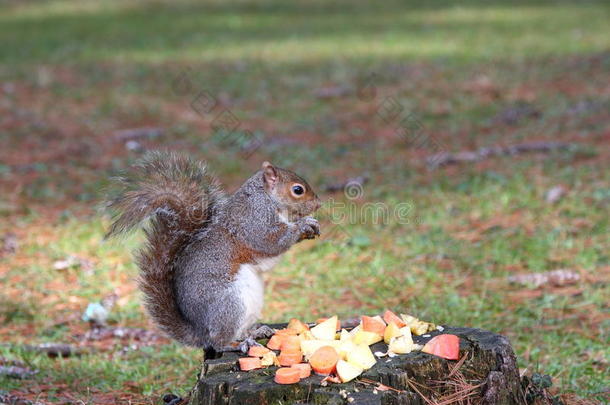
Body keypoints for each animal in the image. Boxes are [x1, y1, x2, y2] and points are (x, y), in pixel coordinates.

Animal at [105, 152, 320, 354]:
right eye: (297, 190)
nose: (318, 204)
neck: (265, 197)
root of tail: (200, 332)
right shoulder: (255, 222)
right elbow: (271, 241)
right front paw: (303, 225)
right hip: (229, 305)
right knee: (218, 343)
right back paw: (237, 345)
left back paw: (257, 331)